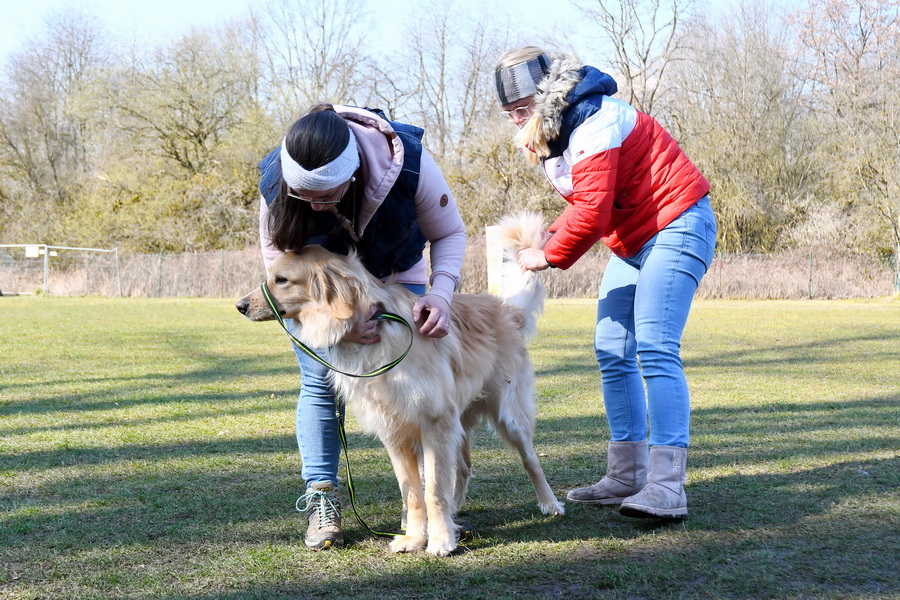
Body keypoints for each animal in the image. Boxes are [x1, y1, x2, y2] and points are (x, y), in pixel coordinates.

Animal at [236, 213, 568, 556]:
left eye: (281, 280)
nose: (240, 306)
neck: (378, 329)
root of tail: (506, 311)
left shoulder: (435, 424)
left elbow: (433, 489)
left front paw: (440, 539)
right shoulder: (394, 432)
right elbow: (412, 491)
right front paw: (415, 537)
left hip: (509, 415)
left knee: (530, 461)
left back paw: (549, 503)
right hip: (460, 421)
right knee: (463, 467)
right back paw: (455, 512)